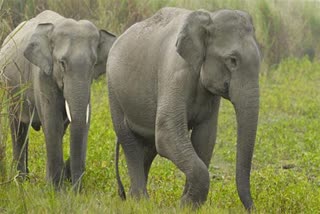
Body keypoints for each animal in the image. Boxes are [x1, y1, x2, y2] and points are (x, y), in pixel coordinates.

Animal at [0, 10, 115, 189]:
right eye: (62, 63)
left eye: (94, 63)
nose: (76, 190)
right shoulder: (42, 75)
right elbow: (52, 123)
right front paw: (55, 189)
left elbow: (75, 123)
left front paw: (56, 185)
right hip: (10, 89)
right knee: (18, 129)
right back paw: (21, 182)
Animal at [107, 7, 260, 210]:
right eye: (232, 60)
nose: (253, 208)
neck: (209, 18)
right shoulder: (174, 74)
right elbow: (167, 134)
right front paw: (185, 204)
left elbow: (204, 138)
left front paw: (187, 203)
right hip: (114, 93)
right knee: (130, 143)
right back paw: (140, 200)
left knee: (148, 146)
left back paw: (135, 198)